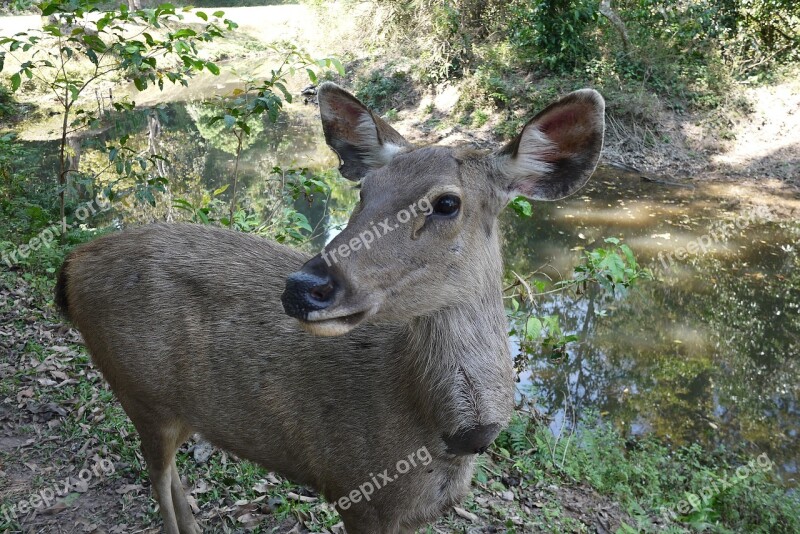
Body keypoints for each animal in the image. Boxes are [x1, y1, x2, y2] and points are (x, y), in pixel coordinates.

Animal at [56, 80, 604, 534]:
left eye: (447, 203)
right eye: (365, 191)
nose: (303, 286)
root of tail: (71, 266)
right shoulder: (355, 492)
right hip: (138, 391)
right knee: (159, 479)